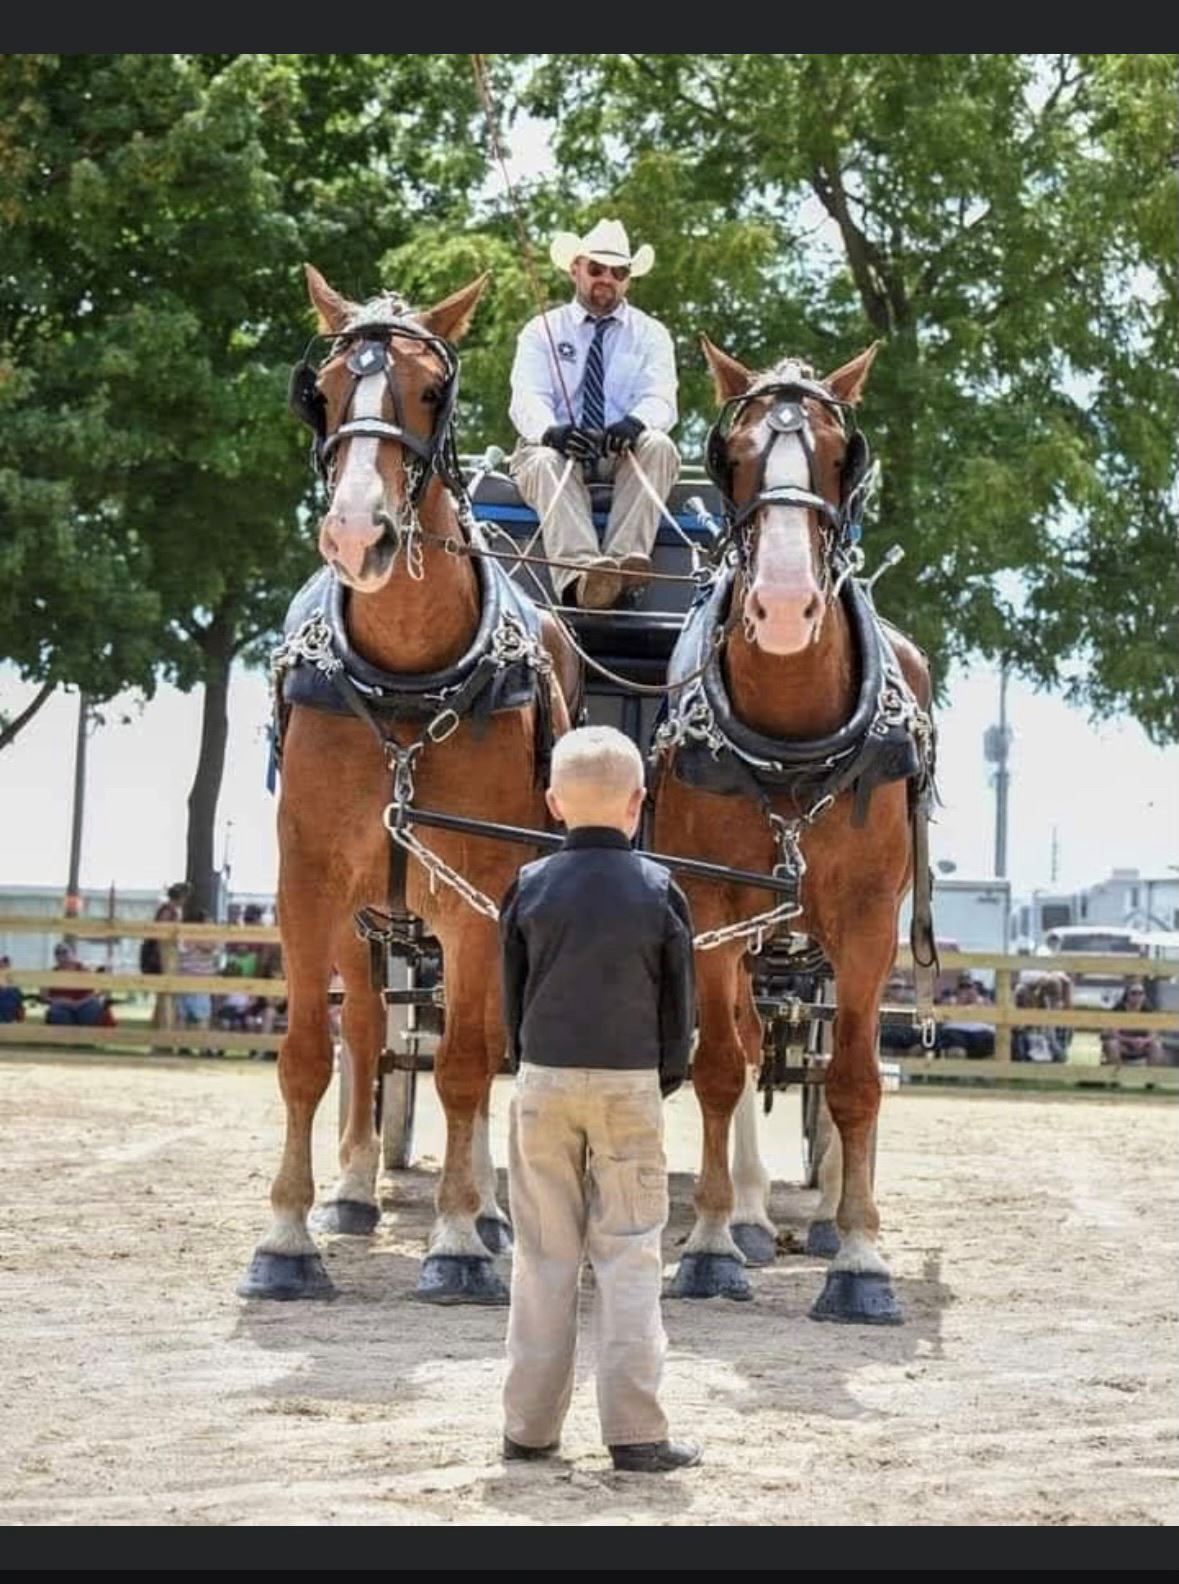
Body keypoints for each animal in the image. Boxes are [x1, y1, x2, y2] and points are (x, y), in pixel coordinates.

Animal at [237, 266, 576, 1305]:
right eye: (324, 390)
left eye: (431, 392)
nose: (358, 534)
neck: (404, 681)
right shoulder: (305, 886)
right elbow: (308, 1056)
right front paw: (286, 1237)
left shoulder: (478, 898)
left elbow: (467, 1063)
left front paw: (461, 1239)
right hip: (367, 918)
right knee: (361, 1034)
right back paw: (352, 1190)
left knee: (488, 1047)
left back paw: (493, 1212)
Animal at [649, 343, 931, 1324]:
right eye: (729, 454)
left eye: (842, 455)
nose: (778, 608)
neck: (790, 745)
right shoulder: (707, 909)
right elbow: (720, 1069)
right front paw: (708, 1246)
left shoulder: (867, 920)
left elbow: (853, 1078)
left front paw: (859, 1258)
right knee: (737, 1045)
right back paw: (744, 1218)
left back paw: (837, 1217)